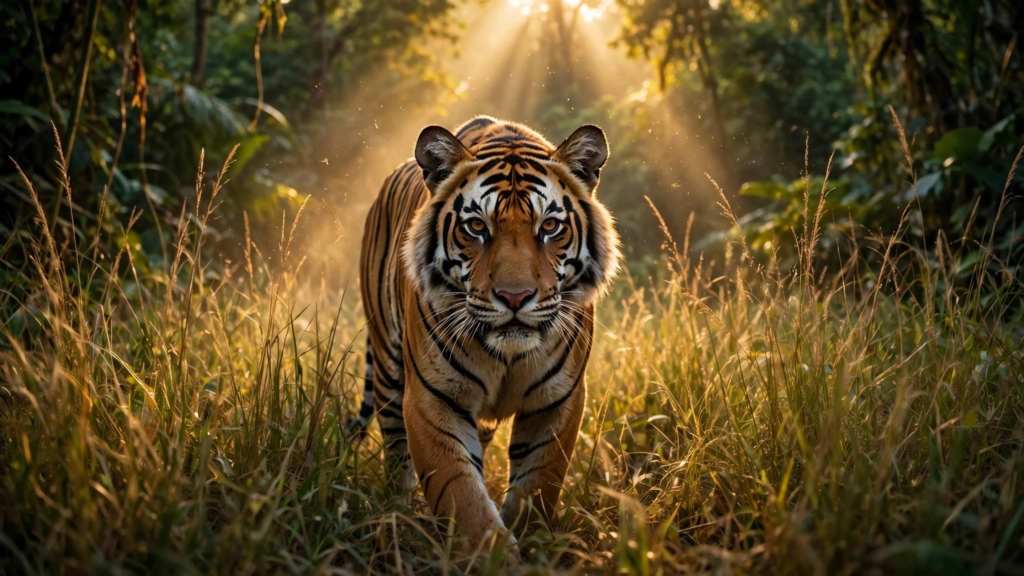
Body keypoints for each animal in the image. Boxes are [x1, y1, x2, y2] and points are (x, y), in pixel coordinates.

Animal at [356, 115, 621, 548]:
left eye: (550, 226)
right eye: (477, 227)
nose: (515, 297)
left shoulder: (557, 401)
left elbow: (538, 486)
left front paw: (530, 543)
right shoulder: (433, 400)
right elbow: (463, 497)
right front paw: (492, 550)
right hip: (387, 369)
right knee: (396, 456)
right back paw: (400, 515)